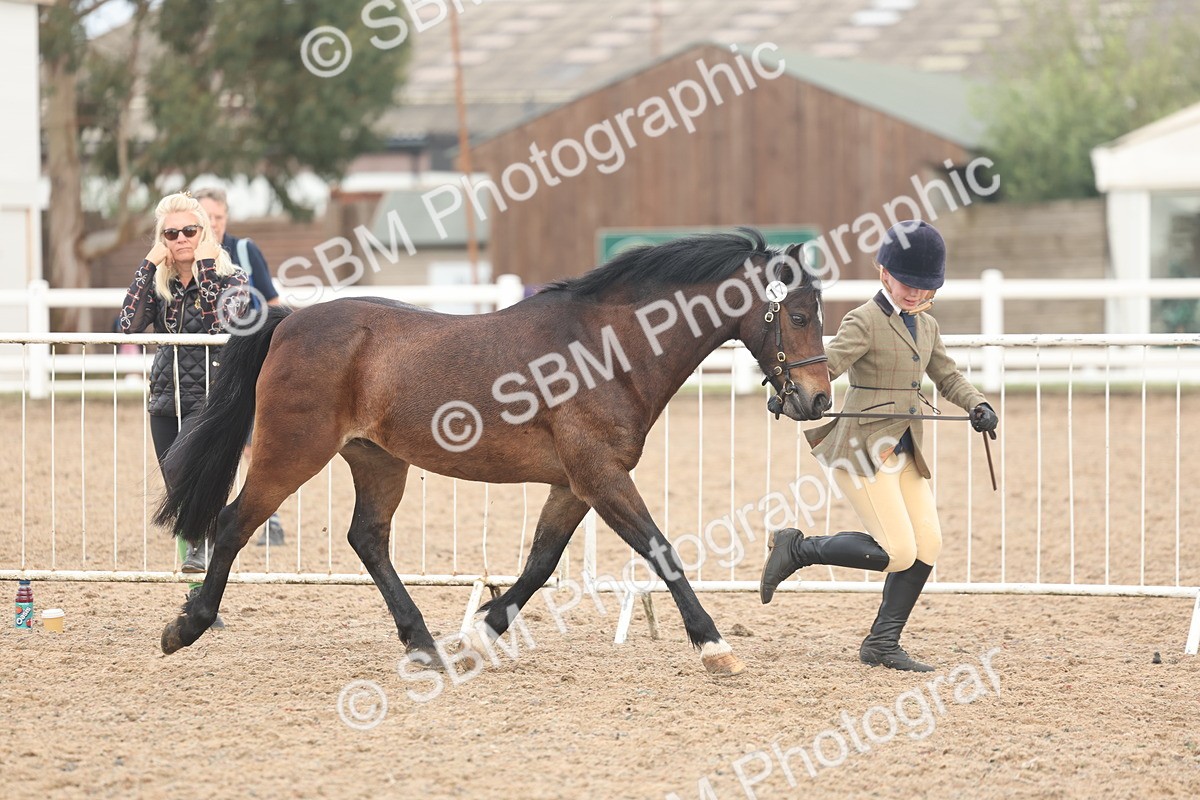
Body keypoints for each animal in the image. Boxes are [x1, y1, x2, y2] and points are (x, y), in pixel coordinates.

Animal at [155, 228, 832, 676]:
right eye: (799, 315)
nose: (819, 399)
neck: (610, 348)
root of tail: (289, 321)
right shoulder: (601, 476)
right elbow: (659, 550)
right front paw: (715, 646)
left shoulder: (574, 484)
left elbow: (540, 563)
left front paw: (482, 633)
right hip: (292, 452)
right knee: (235, 522)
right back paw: (186, 626)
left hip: (378, 460)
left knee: (367, 538)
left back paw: (423, 643)